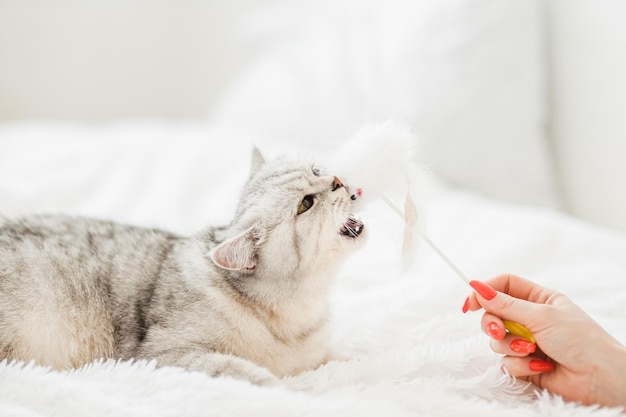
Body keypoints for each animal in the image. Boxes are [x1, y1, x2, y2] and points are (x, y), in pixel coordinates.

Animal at [0, 148, 366, 386]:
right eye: (306, 204)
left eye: (317, 171)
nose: (337, 180)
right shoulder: (160, 356)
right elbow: (240, 369)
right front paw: (282, 387)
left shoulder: (318, 353)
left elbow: (346, 360)